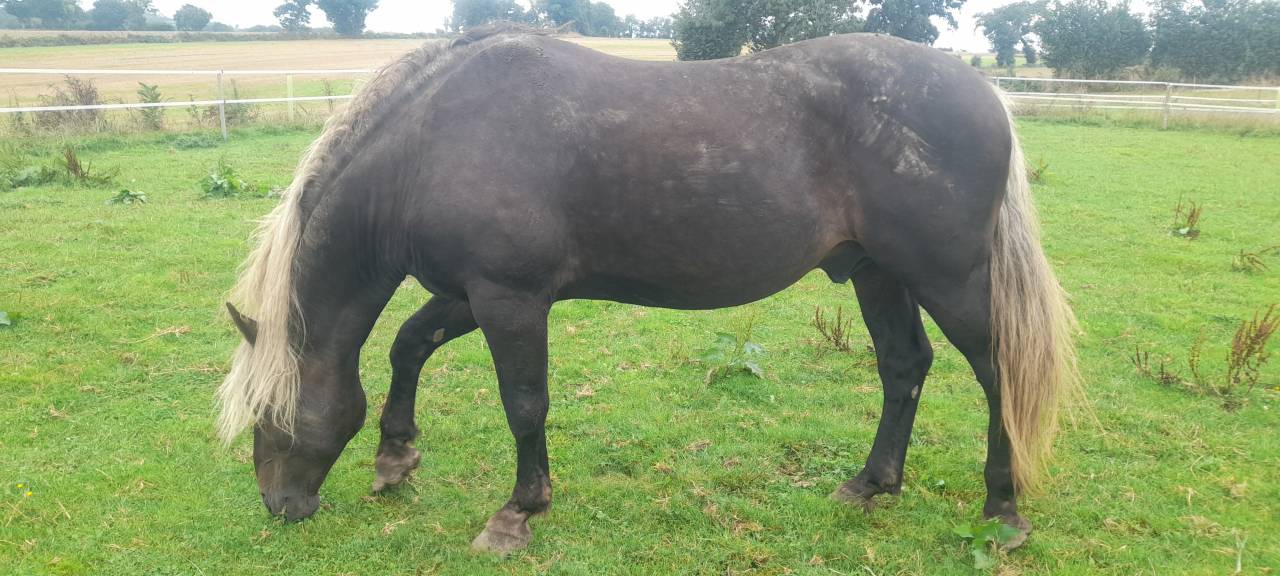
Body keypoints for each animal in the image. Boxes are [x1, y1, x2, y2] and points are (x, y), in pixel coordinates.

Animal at [217, 26, 1078, 553]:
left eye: (270, 415)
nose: (279, 506)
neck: (434, 142)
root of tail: (985, 93)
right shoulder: (470, 292)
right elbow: (407, 345)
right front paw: (396, 457)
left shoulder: (510, 299)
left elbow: (523, 403)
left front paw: (517, 513)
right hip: (876, 273)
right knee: (904, 367)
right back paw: (869, 485)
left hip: (948, 278)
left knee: (996, 373)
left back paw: (1002, 511)